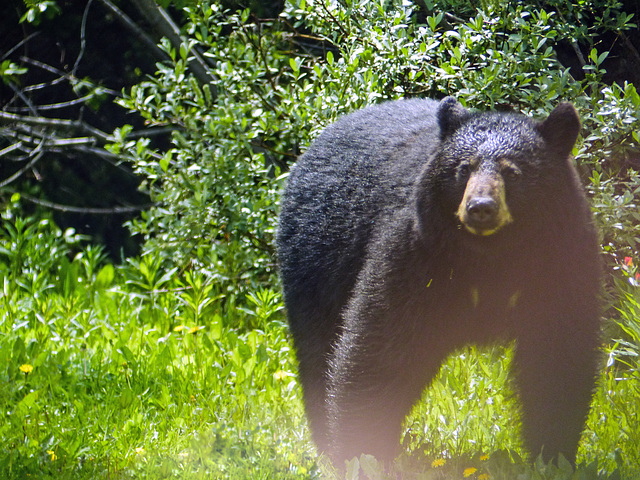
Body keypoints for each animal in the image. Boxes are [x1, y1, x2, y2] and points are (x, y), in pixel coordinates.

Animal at [278, 97, 604, 468]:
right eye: (464, 168)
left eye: (513, 171)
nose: (480, 208)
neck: (493, 255)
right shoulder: (418, 253)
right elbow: (381, 346)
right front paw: (361, 451)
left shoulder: (560, 264)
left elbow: (557, 352)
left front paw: (552, 455)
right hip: (319, 259)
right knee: (319, 346)